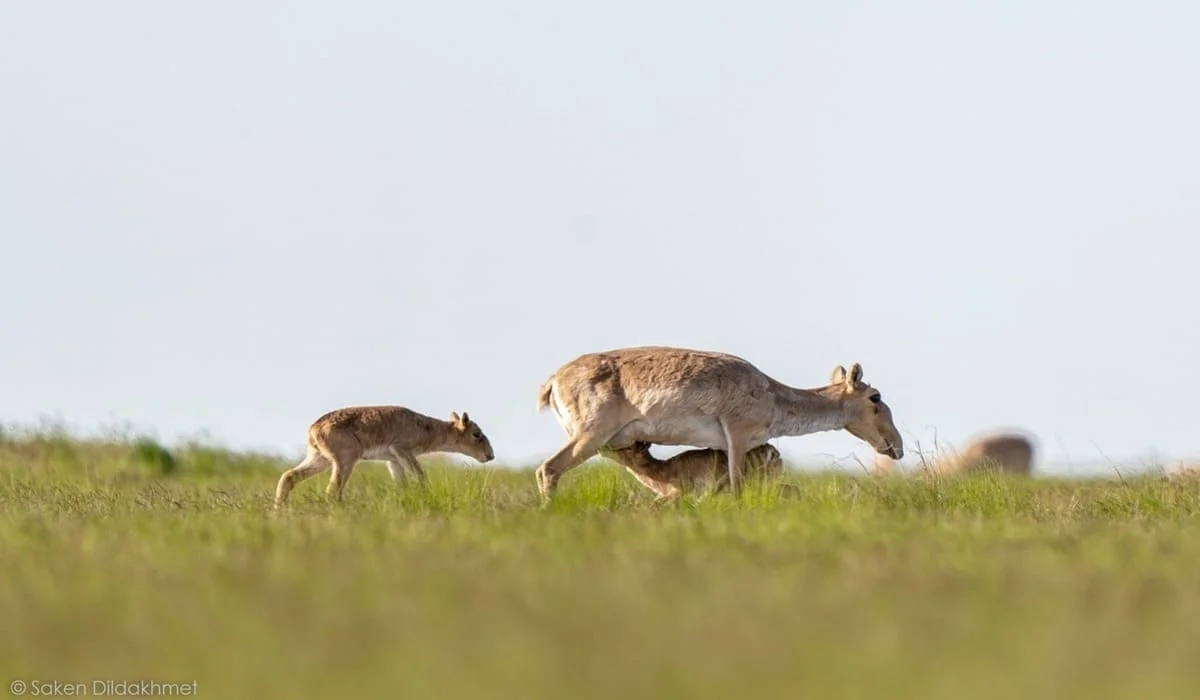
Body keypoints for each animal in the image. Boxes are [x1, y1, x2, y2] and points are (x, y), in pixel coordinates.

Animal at [274, 405, 494, 509]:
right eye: (476, 433)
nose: (490, 455)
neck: (428, 430)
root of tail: (314, 428)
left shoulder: (393, 460)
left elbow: (403, 485)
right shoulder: (402, 450)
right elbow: (421, 477)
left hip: (320, 458)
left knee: (288, 476)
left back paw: (278, 511)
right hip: (345, 460)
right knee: (332, 491)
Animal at [535, 345, 902, 499]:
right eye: (875, 397)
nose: (896, 447)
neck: (773, 397)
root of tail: (553, 379)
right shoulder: (737, 437)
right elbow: (737, 487)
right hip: (590, 435)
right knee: (548, 469)